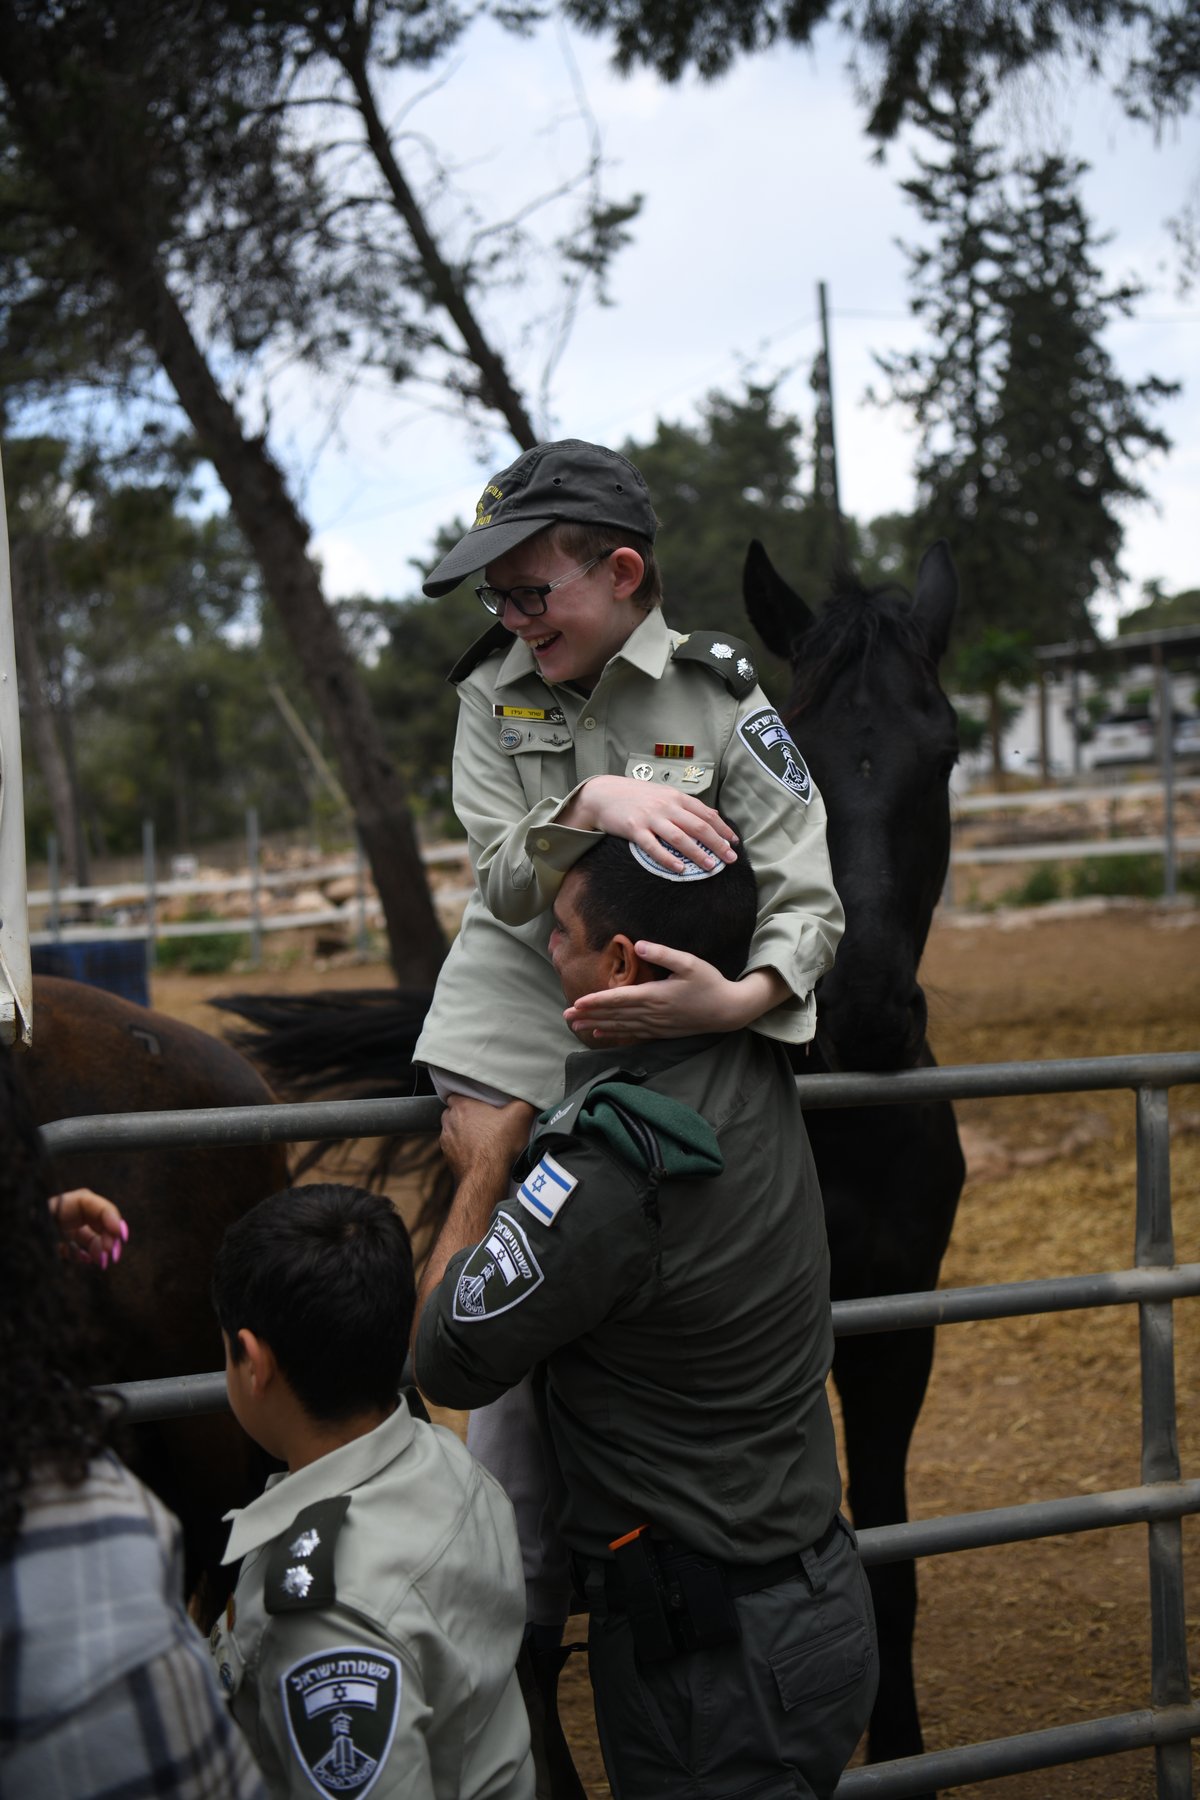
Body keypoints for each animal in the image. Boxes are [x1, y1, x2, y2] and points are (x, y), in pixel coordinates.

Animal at [215, 540, 964, 1778]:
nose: (863, 1012)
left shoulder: (898, 1325)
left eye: (942, 749)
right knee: (526, 1614)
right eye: (802, 744)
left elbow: (891, 1566)